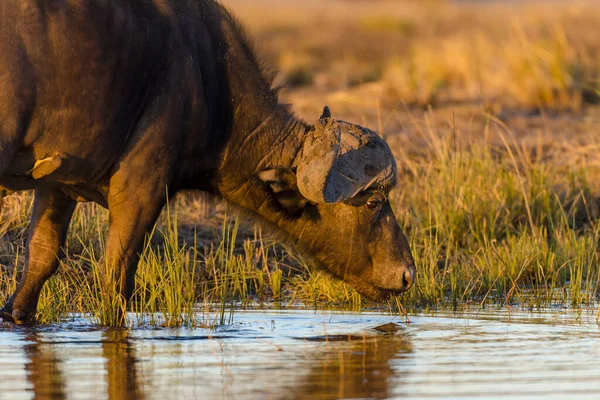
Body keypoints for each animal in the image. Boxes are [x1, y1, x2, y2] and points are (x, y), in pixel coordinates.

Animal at [0, 0, 414, 324]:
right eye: (373, 202)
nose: (408, 275)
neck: (208, 78)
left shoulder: (58, 184)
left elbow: (41, 258)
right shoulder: (141, 189)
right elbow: (117, 276)